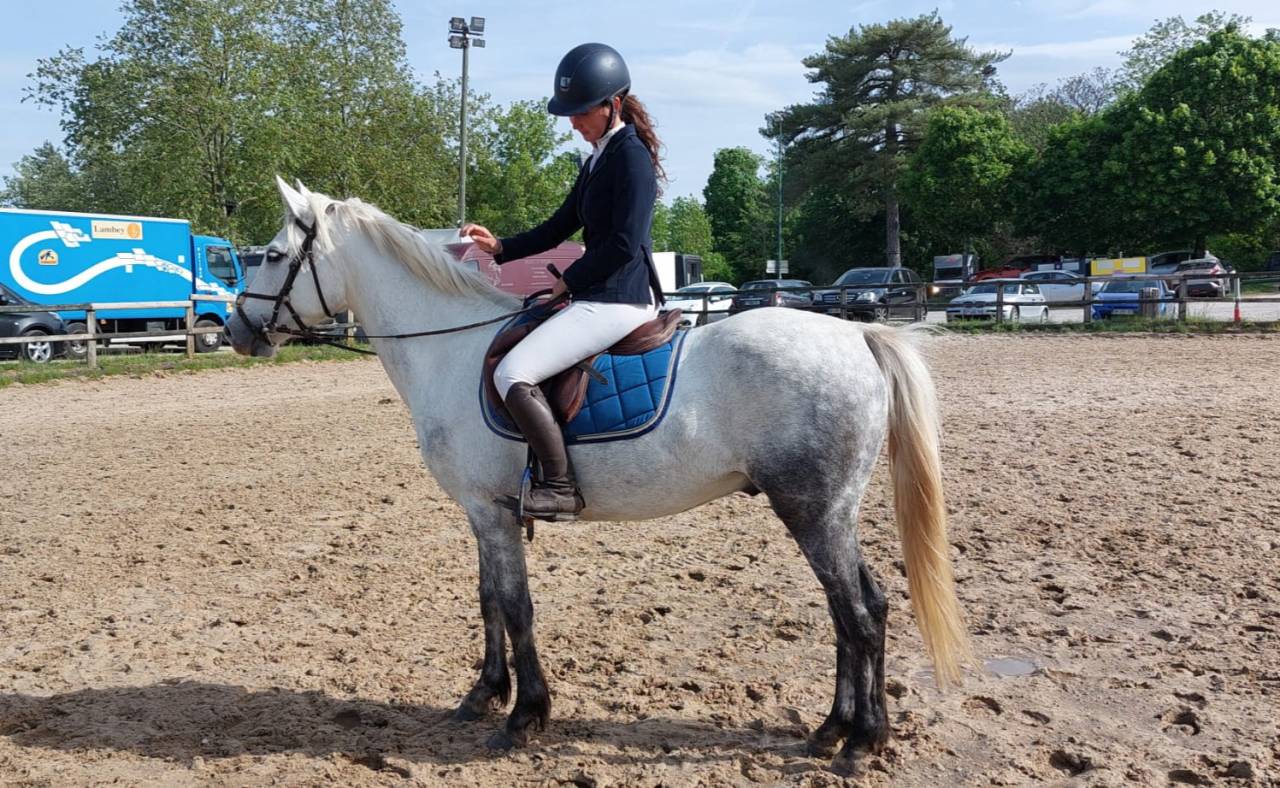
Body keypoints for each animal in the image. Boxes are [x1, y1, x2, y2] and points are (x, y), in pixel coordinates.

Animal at [226, 177, 970, 765]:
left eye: (271, 256)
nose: (235, 330)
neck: (452, 351)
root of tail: (858, 336)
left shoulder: (491, 510)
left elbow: (516, 606)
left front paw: (524, 717)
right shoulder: (484, 511)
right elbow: (488, 598)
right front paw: (484, 695)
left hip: (813, 511)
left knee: (858, 614)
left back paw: (861, 742)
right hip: (828, 512)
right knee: (860, 609)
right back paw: (832, 731)